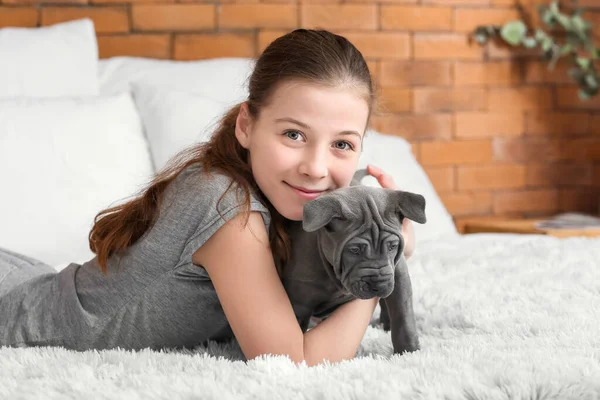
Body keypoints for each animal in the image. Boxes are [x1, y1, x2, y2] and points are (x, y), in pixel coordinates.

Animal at [284, 169, 424, 354]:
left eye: (393, 246)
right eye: (354, 250)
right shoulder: (299, 303)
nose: (379, 285)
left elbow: (403, 316)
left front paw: (408, 351)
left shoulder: (398, 275)